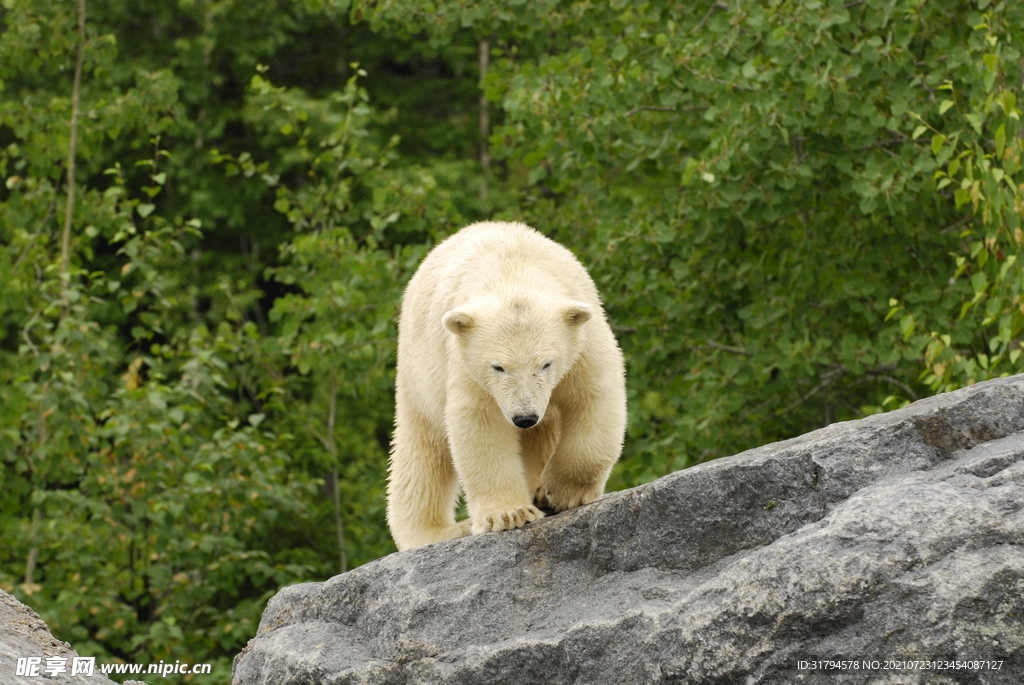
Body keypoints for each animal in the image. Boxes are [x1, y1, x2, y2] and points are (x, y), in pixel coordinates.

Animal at [385, 219, 622, 548]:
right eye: (498, 367)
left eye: (546, 363)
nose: (524, 417)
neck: (512, 272)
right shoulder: (467, 361)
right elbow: (481, 423)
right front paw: (510, 514)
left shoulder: (581, 343)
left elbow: (593, 397)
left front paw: (559, 493)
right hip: (418, 372)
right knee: (423, 449)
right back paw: (433, 532)